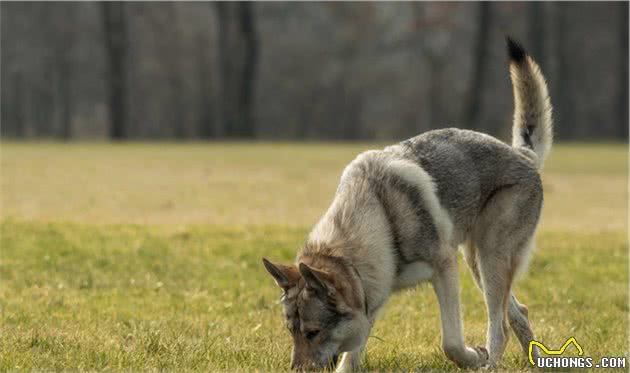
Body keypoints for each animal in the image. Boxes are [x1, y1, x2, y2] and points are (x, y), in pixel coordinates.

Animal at [262, 37, 552, 370]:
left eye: (313, 332)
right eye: (291, 332)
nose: (296, 370)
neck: (379, 218)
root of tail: (522, 155)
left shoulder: (444, 268)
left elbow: (451, 343)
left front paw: (473, 356)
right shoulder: (371, 296)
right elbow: (351, 357)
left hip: (487, 258)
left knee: (500, 325)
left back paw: (489, 363)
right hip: (477, 263)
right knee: (519, 312)